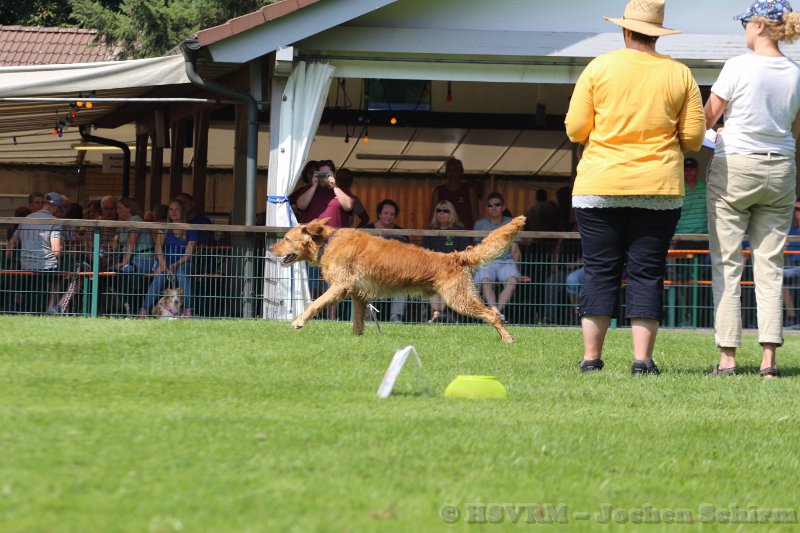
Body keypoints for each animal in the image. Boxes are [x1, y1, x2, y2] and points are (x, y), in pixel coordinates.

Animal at [271, 215, 526, 342]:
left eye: (286, 238)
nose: (271, 248)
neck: (328, 242)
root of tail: (454, 257)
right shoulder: (358, 294)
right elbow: (357, 322)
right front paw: (356, 339)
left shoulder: (340, 286)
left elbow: (314, 304)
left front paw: (298, 322)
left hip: (459, 299)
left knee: (492, 314)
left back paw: (507, 338)